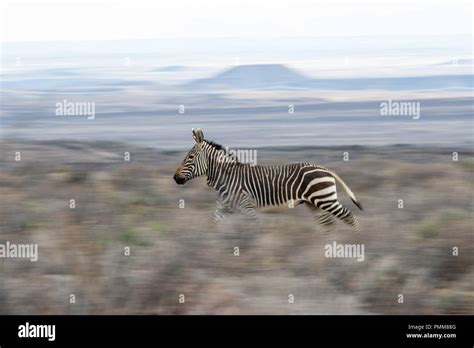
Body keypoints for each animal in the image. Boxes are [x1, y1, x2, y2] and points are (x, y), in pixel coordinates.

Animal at [174, 128, 362, 231]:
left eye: (190, 157)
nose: (175, 178)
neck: (227, 177)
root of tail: (326, 169)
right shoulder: (225, 206)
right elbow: (211, 222)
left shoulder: (247, 205)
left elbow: (256, 226)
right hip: (314, 203)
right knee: (328, 223)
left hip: (325, 199)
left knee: (349, 216)